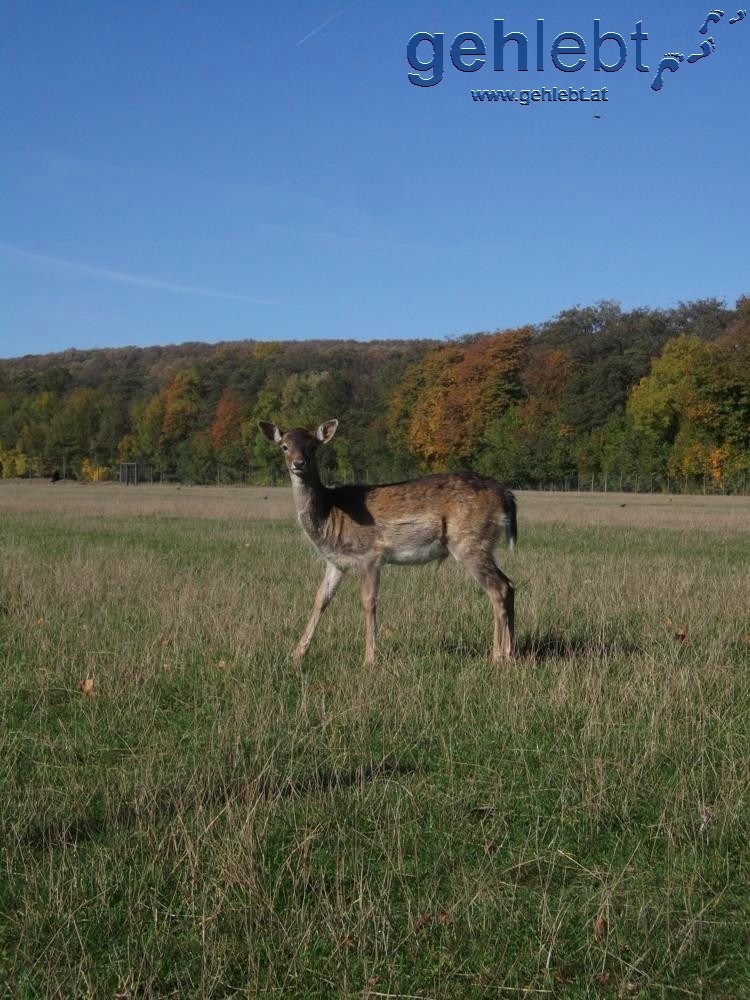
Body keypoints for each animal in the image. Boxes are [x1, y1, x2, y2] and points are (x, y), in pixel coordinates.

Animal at [258, 420, 516, 664]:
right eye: (284, 446)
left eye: (313, 445)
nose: (298, 463)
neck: (329, 515)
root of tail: (507, 494)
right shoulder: (336, 561)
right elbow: (321, 599)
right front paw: (296, 654)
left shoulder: (370, 554)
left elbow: (368, 601)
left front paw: (369, 659)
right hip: (483, 544)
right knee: (509, 584)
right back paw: (510, 653)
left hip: (469, 542)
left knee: (498, 589)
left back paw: (496, 656)